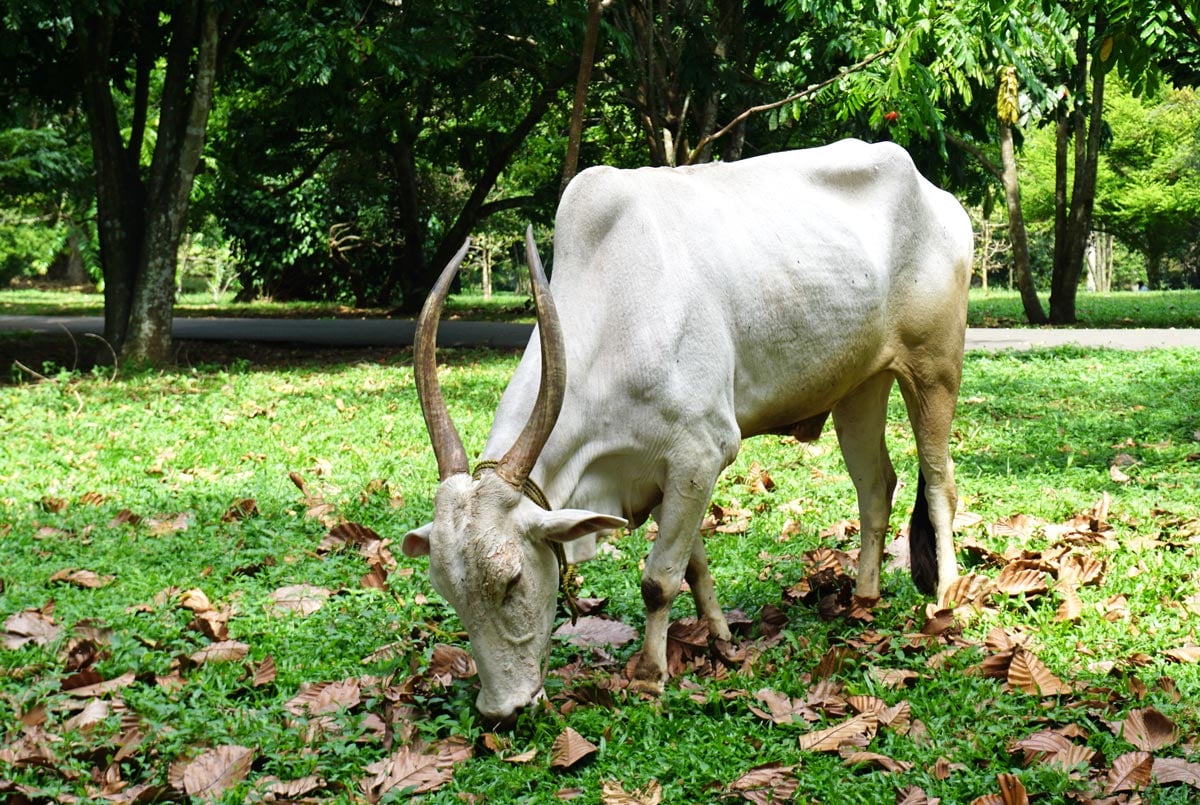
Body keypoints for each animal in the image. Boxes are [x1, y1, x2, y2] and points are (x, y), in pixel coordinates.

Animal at [402, 138, 974, 725]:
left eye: (512, 580)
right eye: (448, 590)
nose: (502, 711)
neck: (616, 309)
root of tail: (935, 195)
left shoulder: (701, 452)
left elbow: (658, 579)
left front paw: (651, 674)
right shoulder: (663, 474)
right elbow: (693, 565)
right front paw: (720, 638)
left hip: (935, 366)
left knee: (938, 483)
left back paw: (946, 596)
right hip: (861, 388)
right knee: (876, 488)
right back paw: (863, 598)